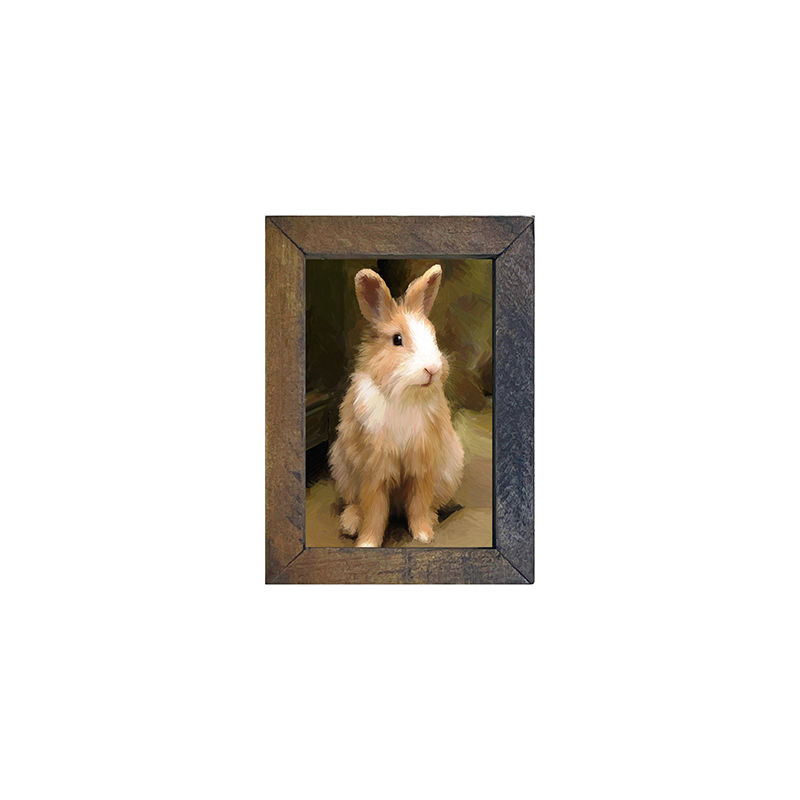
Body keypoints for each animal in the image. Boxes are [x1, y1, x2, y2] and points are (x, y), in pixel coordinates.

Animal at [328, 264, 464, 547]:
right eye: (397, 339)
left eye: (433, 336)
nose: (432, 369)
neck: (404, 395)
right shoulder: (375, 467)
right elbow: (375, 508)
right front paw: (367, 543)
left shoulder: (422, 463)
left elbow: (419, 502)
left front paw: (423, 535)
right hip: (342, 469)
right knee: (356, 503)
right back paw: (350, 524)